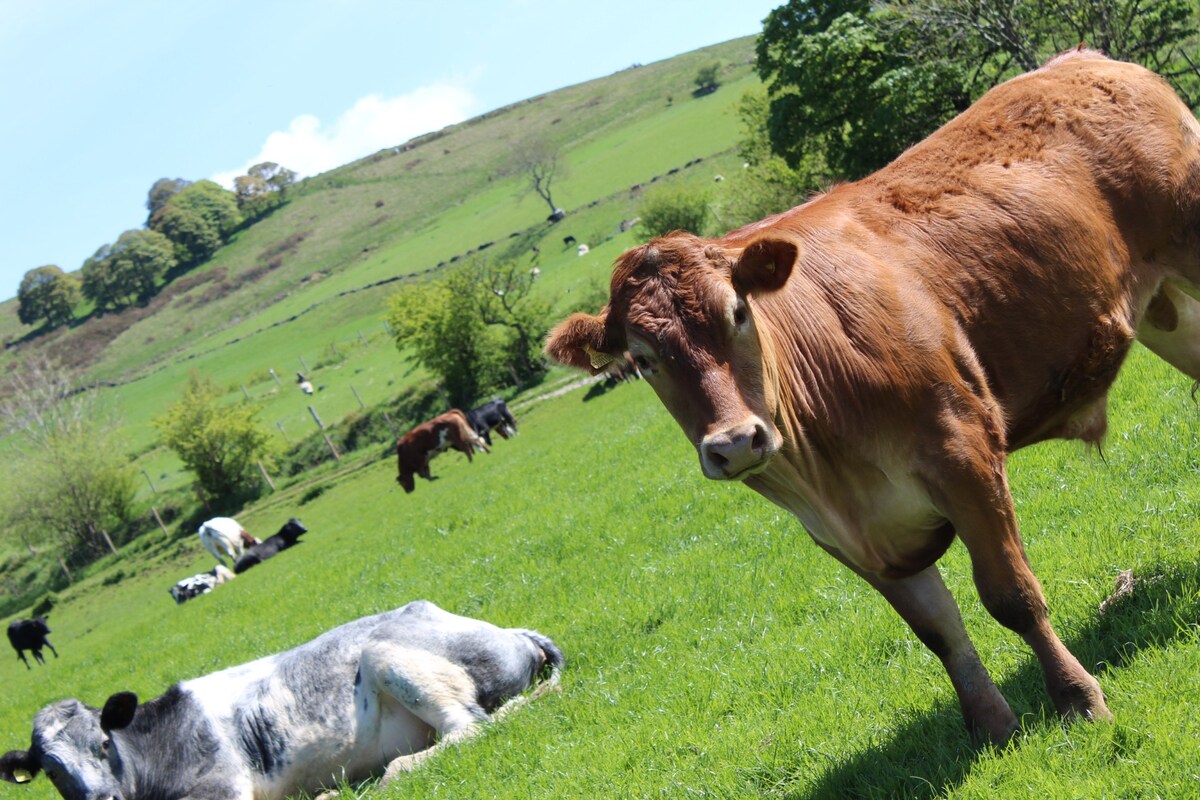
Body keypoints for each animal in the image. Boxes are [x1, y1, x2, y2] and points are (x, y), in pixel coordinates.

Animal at [549, 53, 1200, 748]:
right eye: (642, 360)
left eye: (737, 312)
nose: (734, 442)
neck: (831, 474)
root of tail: (1085, 59)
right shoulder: (847, 540)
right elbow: (938, 632)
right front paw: (992, 729)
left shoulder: (964, 453)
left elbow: (1011, 596)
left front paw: (1078, 700)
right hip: (1165, 310)